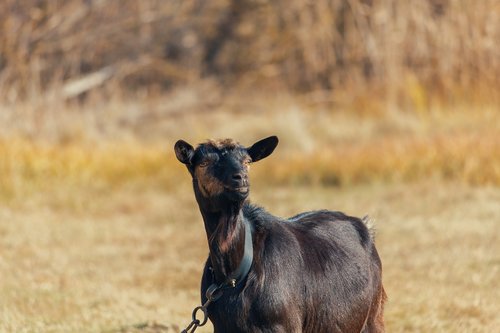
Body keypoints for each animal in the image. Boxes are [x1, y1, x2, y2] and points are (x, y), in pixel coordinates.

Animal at [176, 136, 386, 332]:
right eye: (204, 163)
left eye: (247, 161)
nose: (240, 178)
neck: (234, 273)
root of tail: (364, 225)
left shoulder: (285, 325)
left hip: (374, 316)